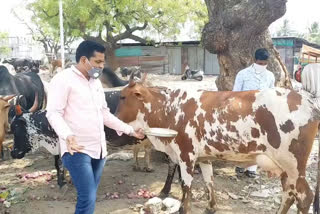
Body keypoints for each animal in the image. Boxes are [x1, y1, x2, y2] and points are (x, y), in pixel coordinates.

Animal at [116, 77, 320, 214]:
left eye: (123, 97)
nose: (115, 117)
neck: (169, 108)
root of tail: (309, 102)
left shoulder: (186, 154)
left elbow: (186, 187)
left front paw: (185, 208)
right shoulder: (203, 158)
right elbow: (209, 182)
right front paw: (211, 206)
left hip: (294, 165)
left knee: (304, 197)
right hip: (286, 169)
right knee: (289, 194)